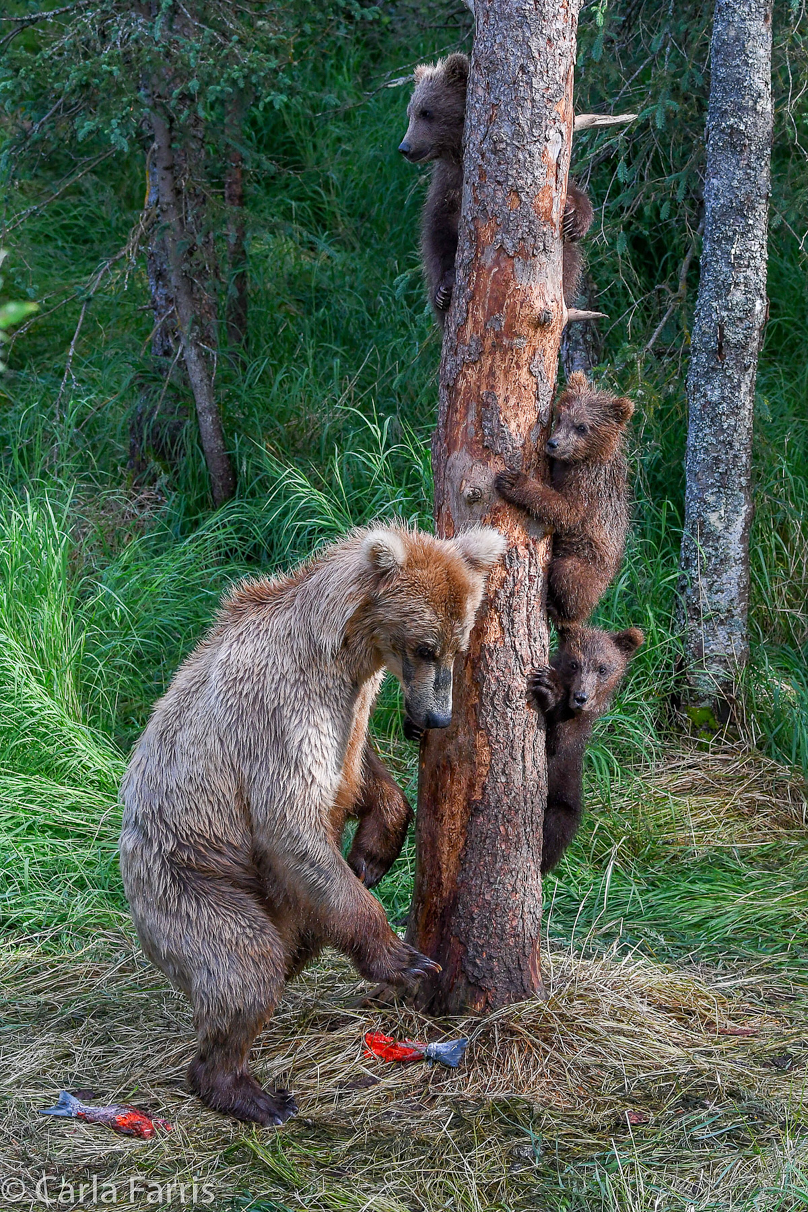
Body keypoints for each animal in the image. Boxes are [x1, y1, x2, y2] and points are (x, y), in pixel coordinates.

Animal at [118, 521, 506, 1124]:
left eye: (459, 647)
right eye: (425, 646)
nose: (438, 717)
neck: (344, 651)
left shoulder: (351, 709)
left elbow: (362, 772)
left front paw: (372, 853)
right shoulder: (282, 713)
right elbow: (292, 824)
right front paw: (407, 960)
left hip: (278, 901)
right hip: (189, 878)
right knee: (245, 965)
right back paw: (249, 1092)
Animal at [397, 54, 593, 324]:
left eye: (426, 112)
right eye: (411, 113)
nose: (405, 147)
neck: (459, 155)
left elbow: (572, 195)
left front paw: (575, 220)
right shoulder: (446, 186)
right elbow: (437, 232)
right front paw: (444, 290)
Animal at [496, 373, 634, 625]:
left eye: (582, 427)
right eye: (561, 417)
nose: (553, 444)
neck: (581, 460)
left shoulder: (590, 487)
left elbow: (567, 511)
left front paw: (513, 482)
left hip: (587, 560)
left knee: (569, 577)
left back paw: (560, 611)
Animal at [530, 625, 644, 872]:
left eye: (602, 668)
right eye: (573, 663)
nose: (581, 697)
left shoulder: (573, 743)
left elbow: (559, 744)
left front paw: (550, 688)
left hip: (563, 802)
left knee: (556, 829)